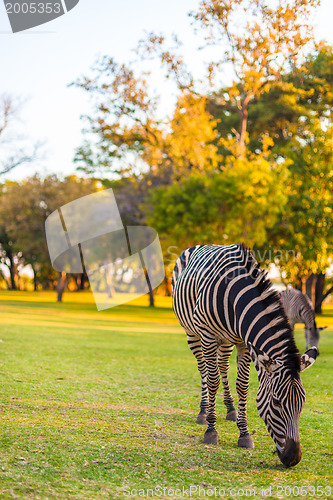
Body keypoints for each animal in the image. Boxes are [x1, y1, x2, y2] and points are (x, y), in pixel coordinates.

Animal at [172, 243, 318, 468]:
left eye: (302, 402)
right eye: (276, 403)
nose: (294, 458)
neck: (234, 298)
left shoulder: (244, 342)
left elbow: (242, 384)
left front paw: (244, 433)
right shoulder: (208, 335)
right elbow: (212, 381)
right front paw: (211, 431)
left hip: (225, 341)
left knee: (222, 367)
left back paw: (230, 410)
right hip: (193, 333)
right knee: (204, 369)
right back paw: (203, 412)